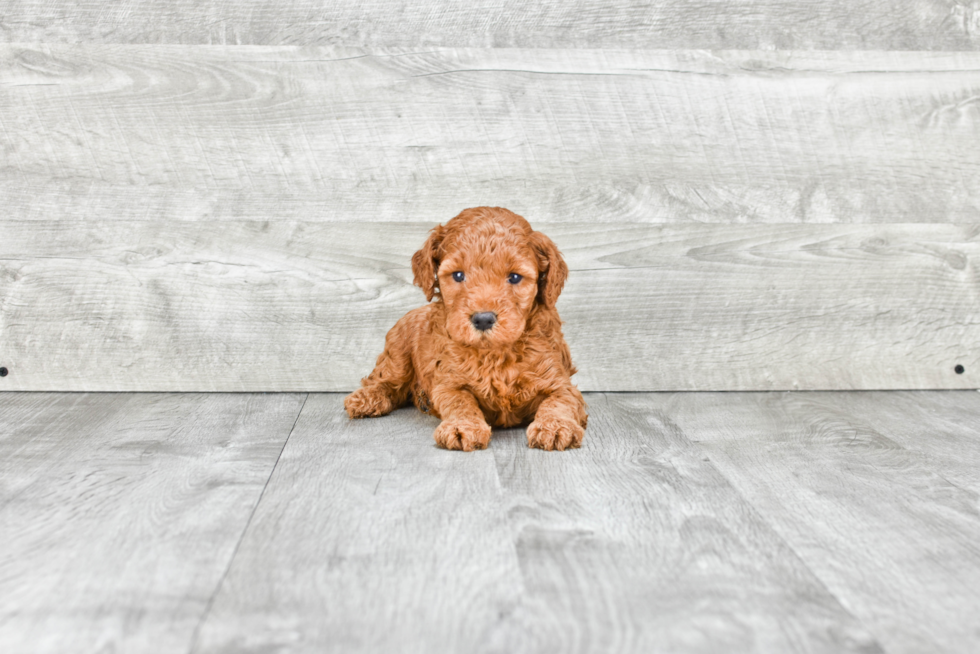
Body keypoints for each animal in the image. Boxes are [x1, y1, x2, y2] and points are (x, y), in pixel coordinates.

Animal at [344, 208, 584, 454]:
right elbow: (461, 402)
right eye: (458, 275)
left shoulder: (559, 382)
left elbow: (559, 402)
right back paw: (366, 398)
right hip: (397, 354)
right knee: (383, 380)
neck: (494, 354)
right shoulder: (450, 382)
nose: (483, 319)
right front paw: (463, 427)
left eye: (515, 277)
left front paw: (555, 427)